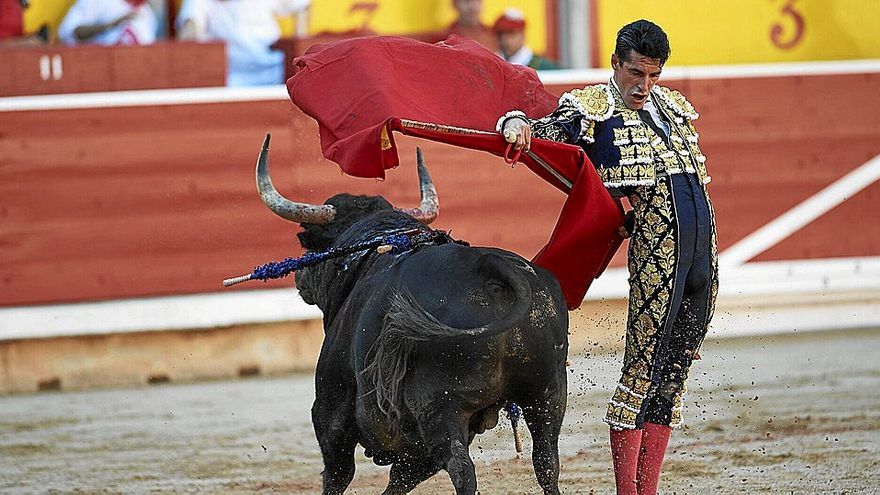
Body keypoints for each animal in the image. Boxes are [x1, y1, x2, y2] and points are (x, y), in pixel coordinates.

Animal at [254, 137, 572, 495]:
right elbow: (401, 477)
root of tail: (491, 268)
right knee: (547, 462)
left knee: (462, 468)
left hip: (440, 407)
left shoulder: (329, 408)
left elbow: (337, 473)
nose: (299, 279)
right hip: (548, 394)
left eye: (308, 244)